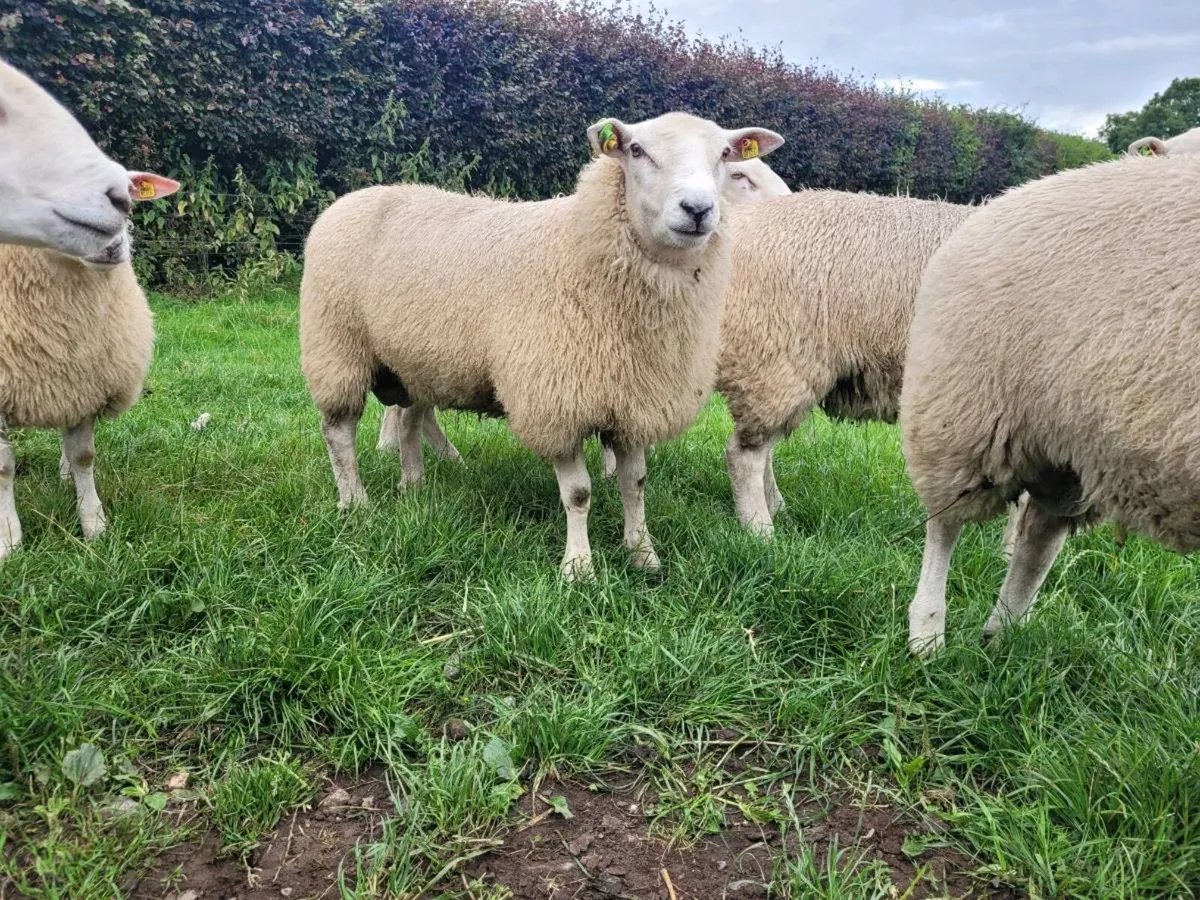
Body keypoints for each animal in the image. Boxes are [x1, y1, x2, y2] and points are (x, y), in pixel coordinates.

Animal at [0, 176, 181, 562]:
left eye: (128, 194)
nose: (111, 246)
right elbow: (4, 466)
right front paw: (10, 539)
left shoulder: (84, 382)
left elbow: (84, 456)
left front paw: (94, 525)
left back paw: (65, 474)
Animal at [299, 111, 783, 578]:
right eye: (637, 150)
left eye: (725, 154)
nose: (697, 209)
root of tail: (351, 198)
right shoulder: (555, 401)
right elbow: (579, 493)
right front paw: (578, 569)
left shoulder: (633, 398)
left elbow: (635, 484)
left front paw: (643, 554)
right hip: (336, 346)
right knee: (338, 431)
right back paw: (355, 503)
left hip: (415, 361)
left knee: (408, 421)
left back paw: (414, 486)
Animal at [901, 151, 1200, 655]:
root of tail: (1005, 197)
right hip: (964, 408)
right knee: (945, 525)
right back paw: (927, 635)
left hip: (1069, 447)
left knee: (1038, 536)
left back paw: (1000, 636)